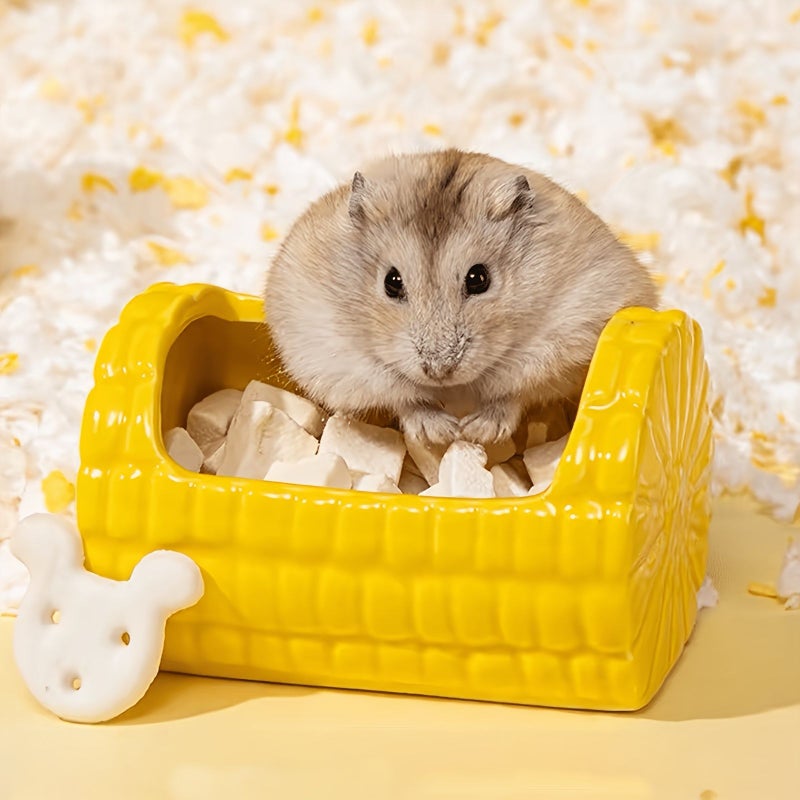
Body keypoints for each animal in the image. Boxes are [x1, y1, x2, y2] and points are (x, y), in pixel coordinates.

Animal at [264, 149, 658, 445]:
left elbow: (512, 394)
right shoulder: (336, 356)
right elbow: (404, 398)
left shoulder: (567, 339)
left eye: (479, 278)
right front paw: (443, 434)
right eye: (392, 282)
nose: (440, 371)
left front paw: (475, 433)